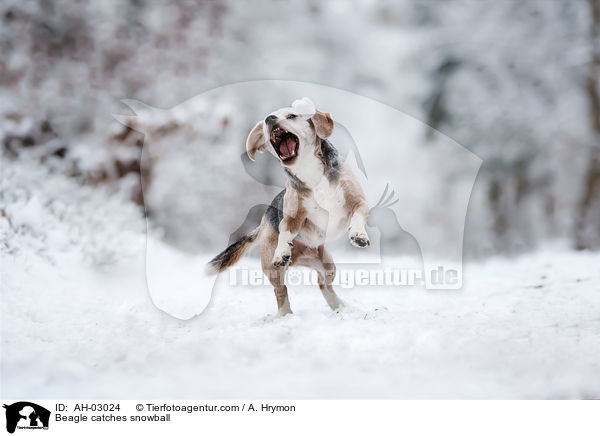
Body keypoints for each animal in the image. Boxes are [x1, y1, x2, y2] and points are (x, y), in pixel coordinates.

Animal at [210, 100, 370, 316]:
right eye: (266, 121)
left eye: (292, 116)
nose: (269, 119)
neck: (309, 170)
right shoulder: (293, 217)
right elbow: (286, 230)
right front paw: (282, 251)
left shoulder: (359, 202)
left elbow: (358, 215)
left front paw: (358, 235)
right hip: (273, 270)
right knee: (281, 291)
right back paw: (284, 314)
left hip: (328, 265)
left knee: (324, 285)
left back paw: (339, 306)